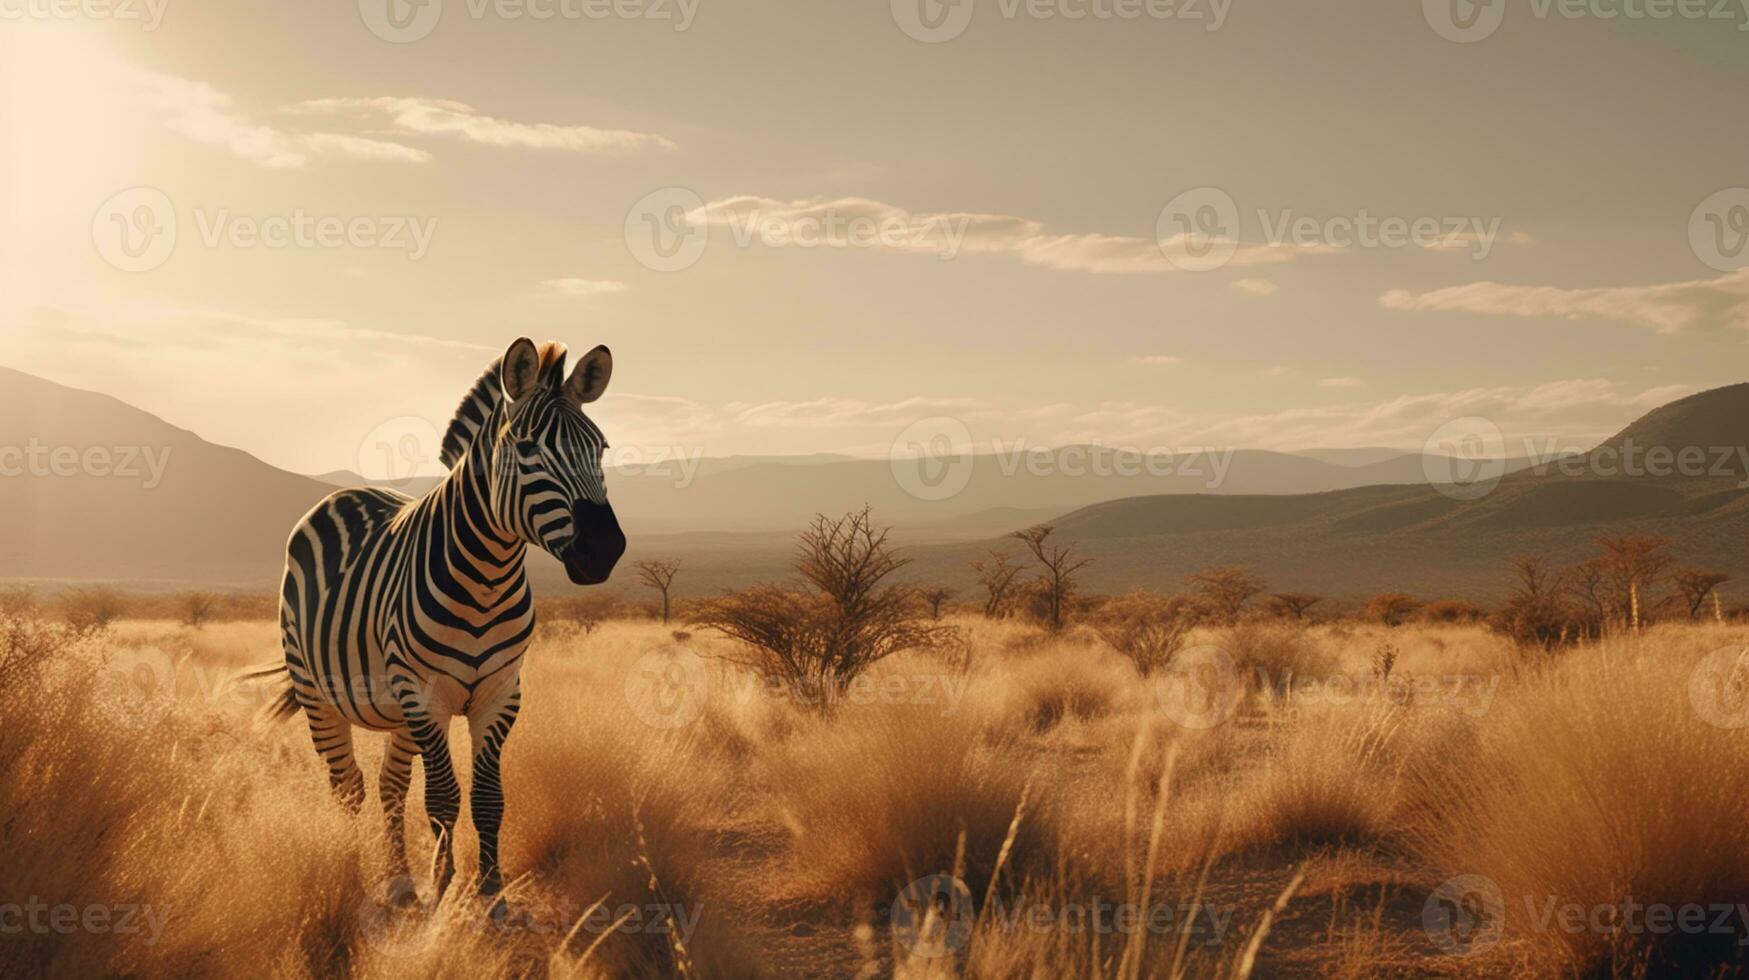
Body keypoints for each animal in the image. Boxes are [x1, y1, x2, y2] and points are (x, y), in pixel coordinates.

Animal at [250, 339, 626, 910]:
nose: (603, 550)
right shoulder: (425, 695)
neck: (488, 577)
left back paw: (399, 877)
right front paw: (445, 888)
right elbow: (444, 798)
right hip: (319, 691)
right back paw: (352, 872)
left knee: (389, 786)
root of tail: (345, 493)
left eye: (600, 448)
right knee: (348, 787)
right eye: (525, 448)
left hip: (398, 711)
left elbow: (489, 798)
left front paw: (491, 894)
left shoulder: (501, 693)